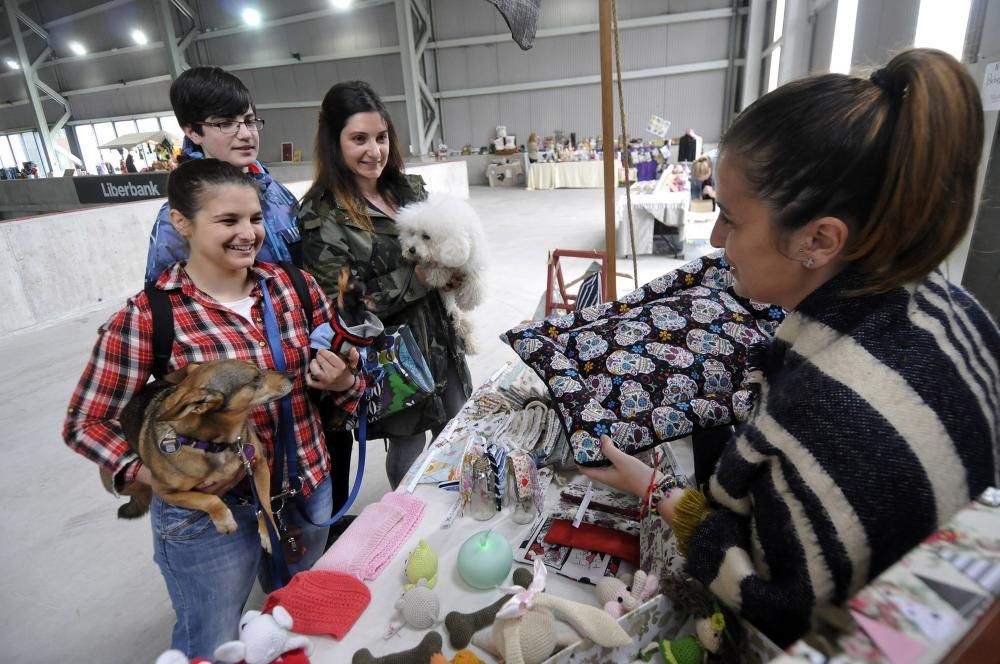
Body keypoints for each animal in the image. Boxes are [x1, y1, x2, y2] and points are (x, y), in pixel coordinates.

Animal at [103, 360, 294, 552]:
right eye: (256, 378)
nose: (292, 375)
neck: (216, 444)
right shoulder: (165, 491)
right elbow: (208, 499)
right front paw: (224, 520)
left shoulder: (259, 465)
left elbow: (264, 505)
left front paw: (268, 534)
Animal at [400, 192, 490, 352]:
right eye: (412, 233)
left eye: (426, 236)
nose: (410, 249)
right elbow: (434, 268)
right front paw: (438, 274)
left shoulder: (473, 261)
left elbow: (475, 284)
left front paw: (468, 300)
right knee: (454, 310)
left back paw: (471, 341)